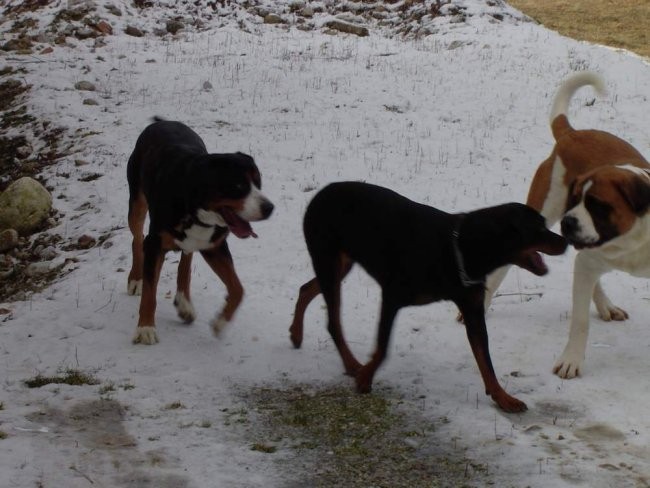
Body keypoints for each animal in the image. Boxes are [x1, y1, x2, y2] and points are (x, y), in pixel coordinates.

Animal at [125, 118, 272, 346]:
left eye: (258, 182)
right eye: (238, 185)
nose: (269, 208)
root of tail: (163, 121)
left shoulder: (215, 246)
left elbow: (238, 288)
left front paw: (220, 322)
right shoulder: (155, 244)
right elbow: (150, 292)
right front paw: (145, 328)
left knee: (186, 259)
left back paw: (184, 303)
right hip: (137, 203)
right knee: (137, 238)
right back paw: (135, 279)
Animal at [290, 182, 568, 412]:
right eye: (536, 228)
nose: (566, 241)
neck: (464, 248)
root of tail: (320, 194)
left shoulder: (472, 309)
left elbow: (485, 358)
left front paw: (503, 398)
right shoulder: (392, 297)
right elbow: (383, 347)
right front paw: (366, 378)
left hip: (341, 264)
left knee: (306, 288)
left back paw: (296, 334)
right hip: (328, 258)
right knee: (333, 320)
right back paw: (351, 365)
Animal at [484, 71, 648, 378]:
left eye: (597, 204)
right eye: (576, 198)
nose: (569, 221)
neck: (632, 241)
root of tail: (571, 134)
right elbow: (580, 321)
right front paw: (571, 360)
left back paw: (606, 306)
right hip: (544, 209)